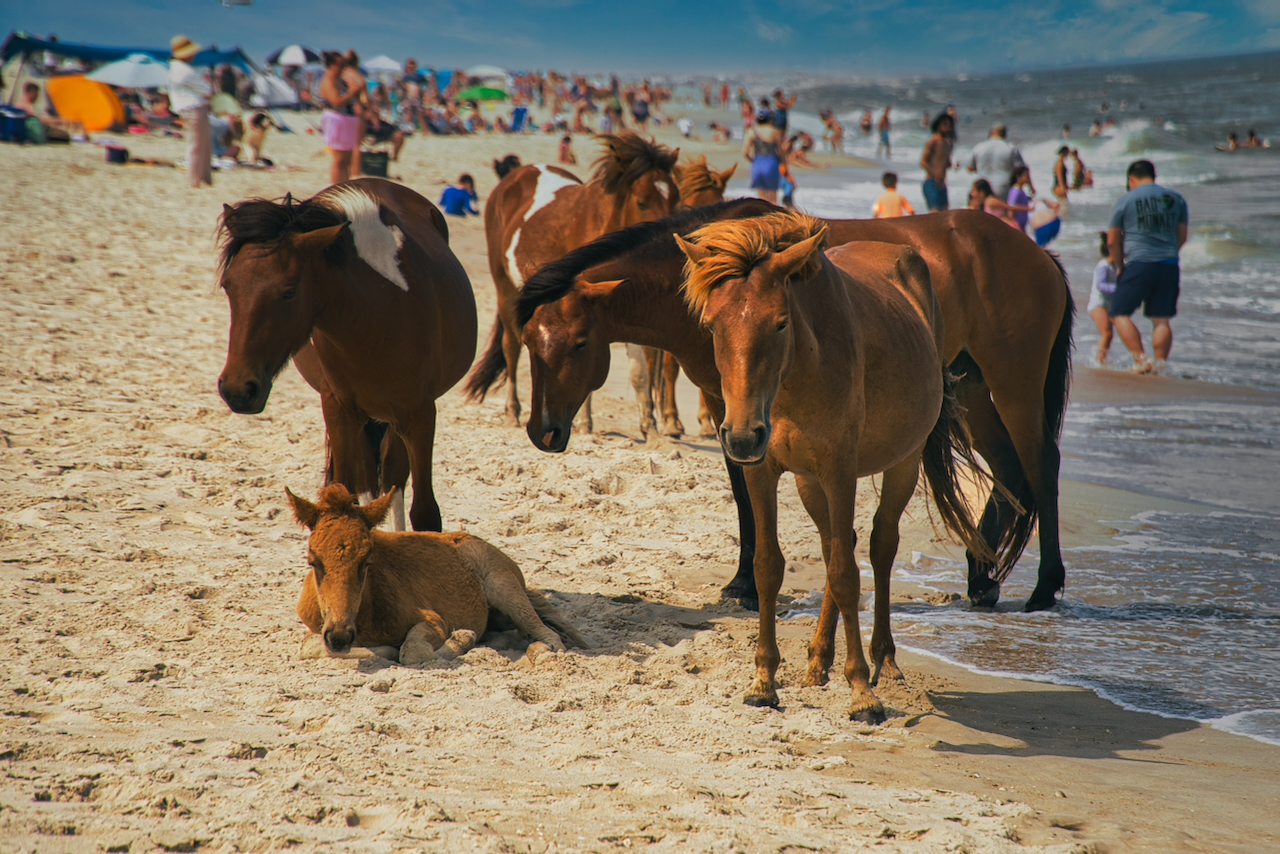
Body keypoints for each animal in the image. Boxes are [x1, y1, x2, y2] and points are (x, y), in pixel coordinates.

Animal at [217, 178, 477, 533]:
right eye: (228, 286)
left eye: (289, 292)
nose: (238, 389)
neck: (376, 316)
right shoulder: (340, 410)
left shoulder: (420, 414)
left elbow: (424, 513)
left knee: (393, 478)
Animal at [288, 484, 584, 664]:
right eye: (313, 561)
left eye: (367, 561)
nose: (339, 636)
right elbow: (311, 647)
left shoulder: (433, 620)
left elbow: (413, 651)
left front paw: (461, 638)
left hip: (504, 587)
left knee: (549, 637)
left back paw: (538, 651)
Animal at [464, 132, 680, 433]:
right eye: (642, 201)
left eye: (675, 198)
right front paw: (585, 422)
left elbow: (638, 372)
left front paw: (650, 428)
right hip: (504, 287)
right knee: (511, 346)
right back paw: (512, 411)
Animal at [505, 200, 1073, 611]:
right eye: (530, 340)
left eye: (579, 342)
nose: (543, 431)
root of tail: (1040, 254)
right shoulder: (727, 405)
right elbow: (742, 490)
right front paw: (742, 580)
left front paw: (746, 586)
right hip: (973, 387)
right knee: (1009, 470)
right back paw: (981, 579)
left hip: (1015, 383)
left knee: (1039, 463)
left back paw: (1044, 587)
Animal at [676, 212, 990, 721]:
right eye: (710, 325)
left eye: (780, 323)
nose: (741, 436)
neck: (797, 374)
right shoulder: (762, 472)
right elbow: (769, 567)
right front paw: (764, 681)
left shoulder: (839, 472)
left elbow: (847, 574)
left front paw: (861, 690)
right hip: (809, 482)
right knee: (831, 547)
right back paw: (818, 660)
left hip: (903, 463)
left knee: (879, 547)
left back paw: (884, 661)